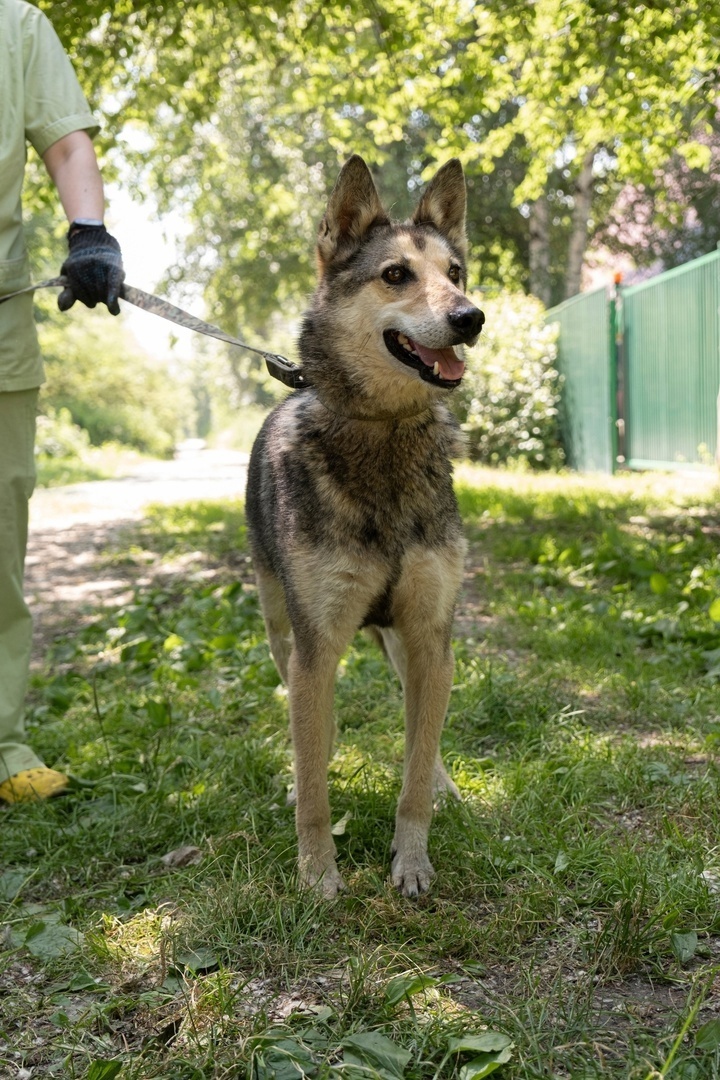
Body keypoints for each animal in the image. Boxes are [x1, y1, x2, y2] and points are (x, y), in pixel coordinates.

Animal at [245, 152, 487, 894]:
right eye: (396, 275)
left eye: (456, 272)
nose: (472, 317)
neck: (382, 435)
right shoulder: (316, 647)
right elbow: (315, 783)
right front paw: (317, 872)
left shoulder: (431, 633)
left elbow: (413, 767)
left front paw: (412, 858)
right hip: (281, 631)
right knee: (306, 727)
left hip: (407, 644)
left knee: (420, 731)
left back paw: (442, 783)